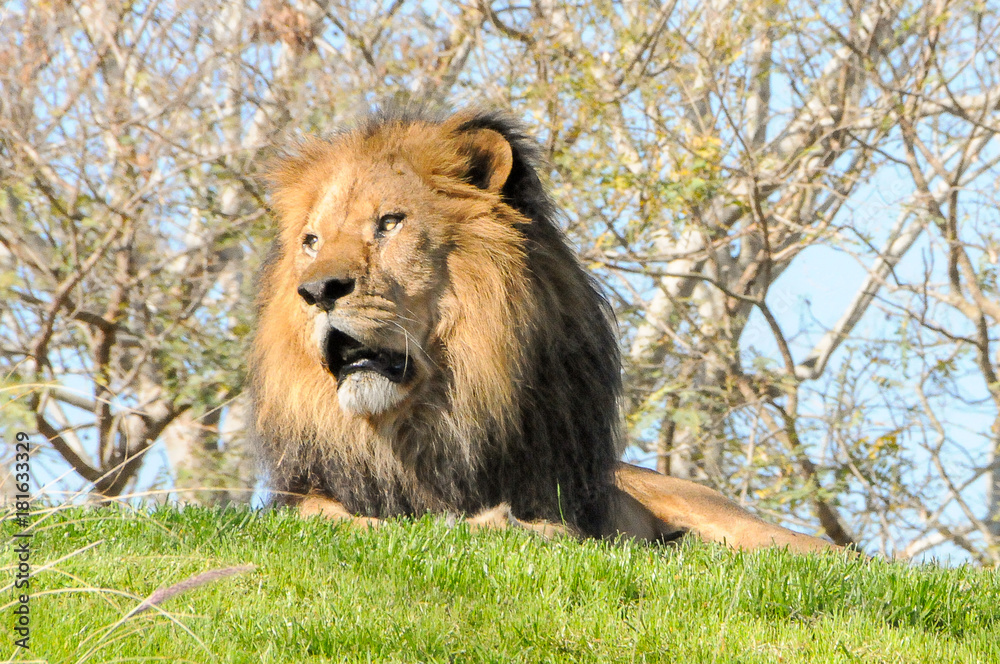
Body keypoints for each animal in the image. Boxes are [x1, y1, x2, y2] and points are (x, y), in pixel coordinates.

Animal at [249, 107, 838, 554]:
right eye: (311, 242)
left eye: (390, 223)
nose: (317, 290)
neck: (421, 426)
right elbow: (315, 514)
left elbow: (545, 528)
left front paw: (499, 523)